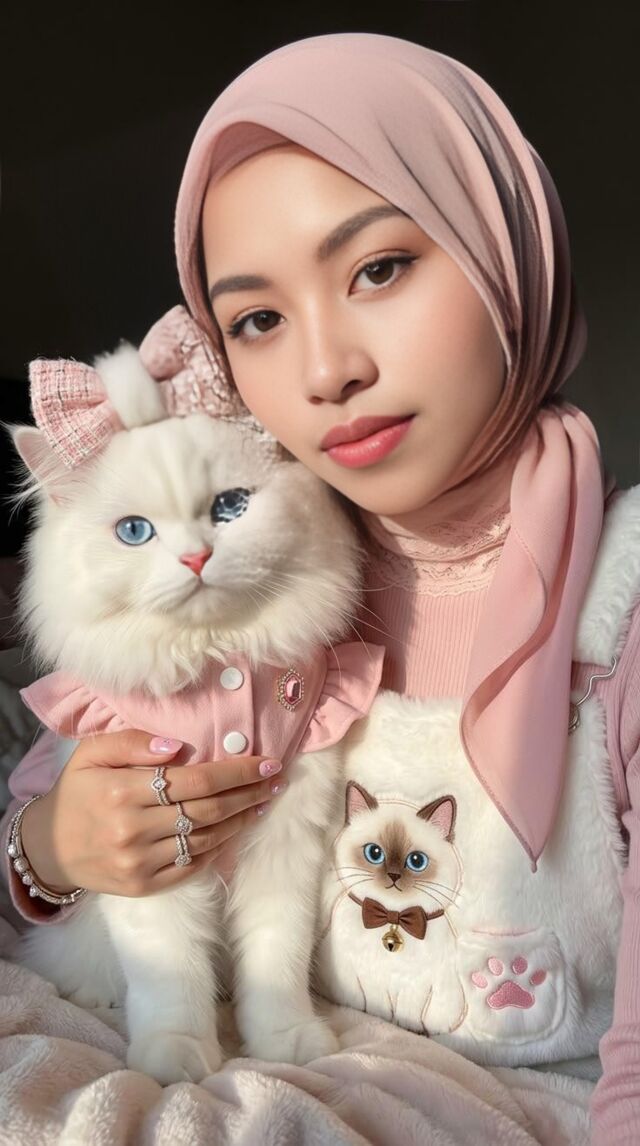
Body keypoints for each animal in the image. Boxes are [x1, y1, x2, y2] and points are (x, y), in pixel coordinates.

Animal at [7, 340, 383, 1084]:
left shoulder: (284, 847)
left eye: (230, 508)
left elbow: (275, 965)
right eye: (134, 533)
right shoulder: (151, 866)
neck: (217, 661)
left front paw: (283, 1042)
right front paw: (178, 1059)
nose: (195, 557)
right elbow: (172, 978)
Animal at [314, 778, 466, 1034]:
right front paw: (382, 1018)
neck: (393, 917)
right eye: (374, 853)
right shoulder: (372, 978)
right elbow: (380, 1006)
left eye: (416, 861)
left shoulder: (414, 984)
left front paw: (408, 1028)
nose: (394, 876)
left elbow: (407, 1013)